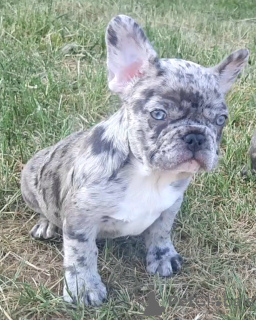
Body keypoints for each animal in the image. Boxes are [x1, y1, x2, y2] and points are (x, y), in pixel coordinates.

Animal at [21, 14, 249, 304]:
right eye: (159, 114)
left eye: (221, 120)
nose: (195, 137)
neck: (150, 175)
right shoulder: (79, 217)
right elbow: (82, 253)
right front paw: (84, 287)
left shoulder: (170, 206)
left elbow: (161, 232)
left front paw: (162, 257)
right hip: (31, 179)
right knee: (44, 208)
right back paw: (46, 224)